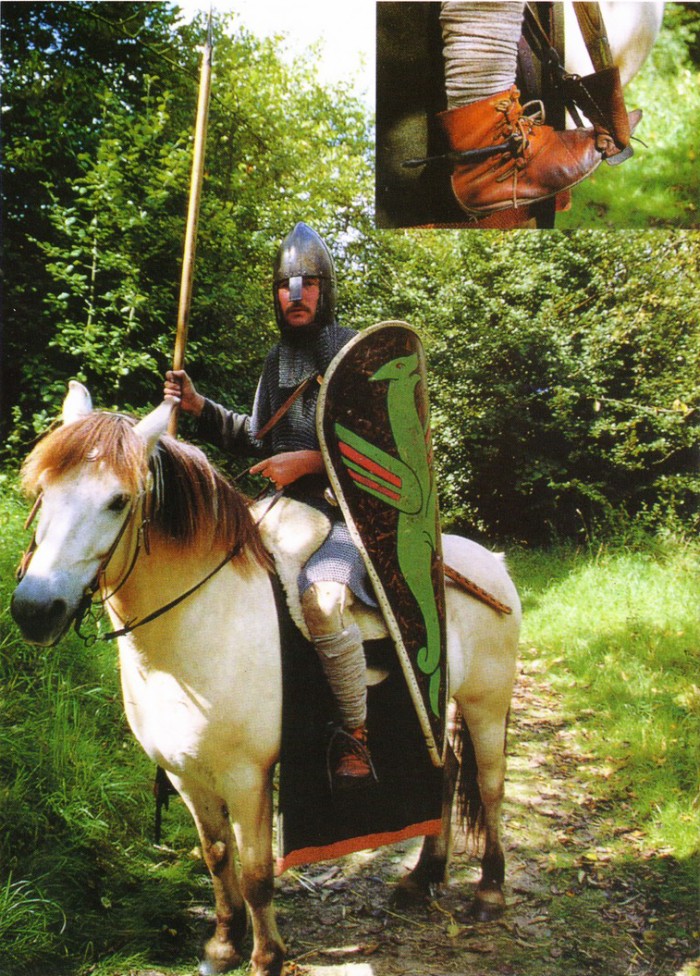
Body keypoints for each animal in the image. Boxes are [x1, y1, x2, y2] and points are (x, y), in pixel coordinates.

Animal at [11, 383, 521, 976]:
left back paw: (489, 890)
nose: (34, 610)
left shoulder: (245, 776)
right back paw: (422, 879)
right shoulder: (186, 773)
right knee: (447, 772)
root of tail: (492, 562)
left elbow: (256, 875)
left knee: (489, 784)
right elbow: (215, 857)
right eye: (43, 492)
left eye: (118, 500)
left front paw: (265, 957)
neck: (197, 622)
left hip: (486, 702)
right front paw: (223, 944)